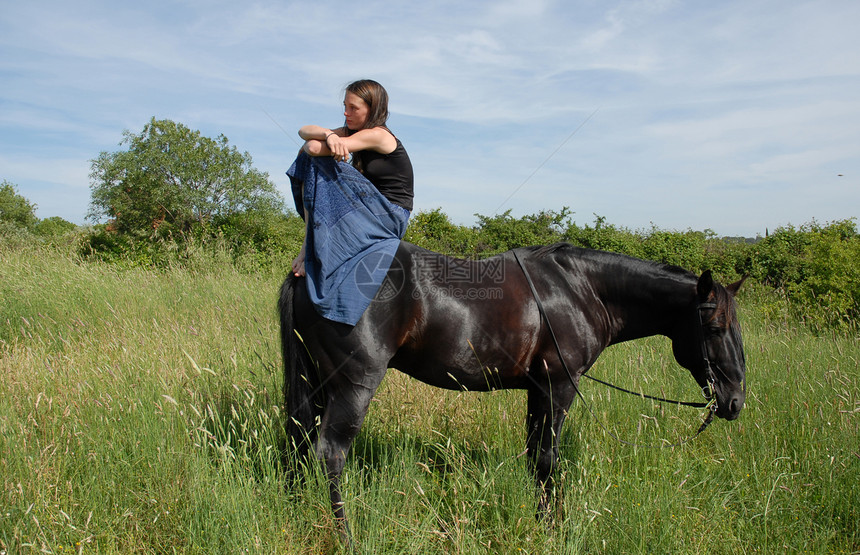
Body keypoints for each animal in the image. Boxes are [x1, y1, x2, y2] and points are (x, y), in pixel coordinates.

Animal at [278, 241, 744, 532]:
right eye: (715, 327)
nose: (735, 401)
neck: (581, 290)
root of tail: (309, 271)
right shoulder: (559, 387)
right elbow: (548, 459)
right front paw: (553, 526)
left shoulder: (538, 390)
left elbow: (535, 455)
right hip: (353, 387)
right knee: (330, 453)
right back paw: (344, 534)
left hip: (316, 384)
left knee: (300, 443)